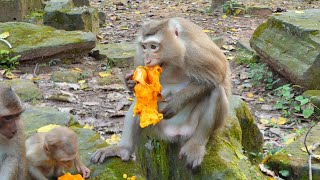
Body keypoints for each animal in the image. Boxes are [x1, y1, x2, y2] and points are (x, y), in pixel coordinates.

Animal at [91, 17, 231, 168]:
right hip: (156, 129)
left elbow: (217, 77)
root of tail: (176, 134)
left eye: (154, 47)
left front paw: (176, 103)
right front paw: (130, 83)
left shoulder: (195, 52)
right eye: (144, 47)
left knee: (216, 90)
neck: (171, 61)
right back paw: (123, 149)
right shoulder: (140, 58)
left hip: (195, 129)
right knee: (141, 103)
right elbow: (141, 92)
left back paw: (195, 145)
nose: (147, 60)